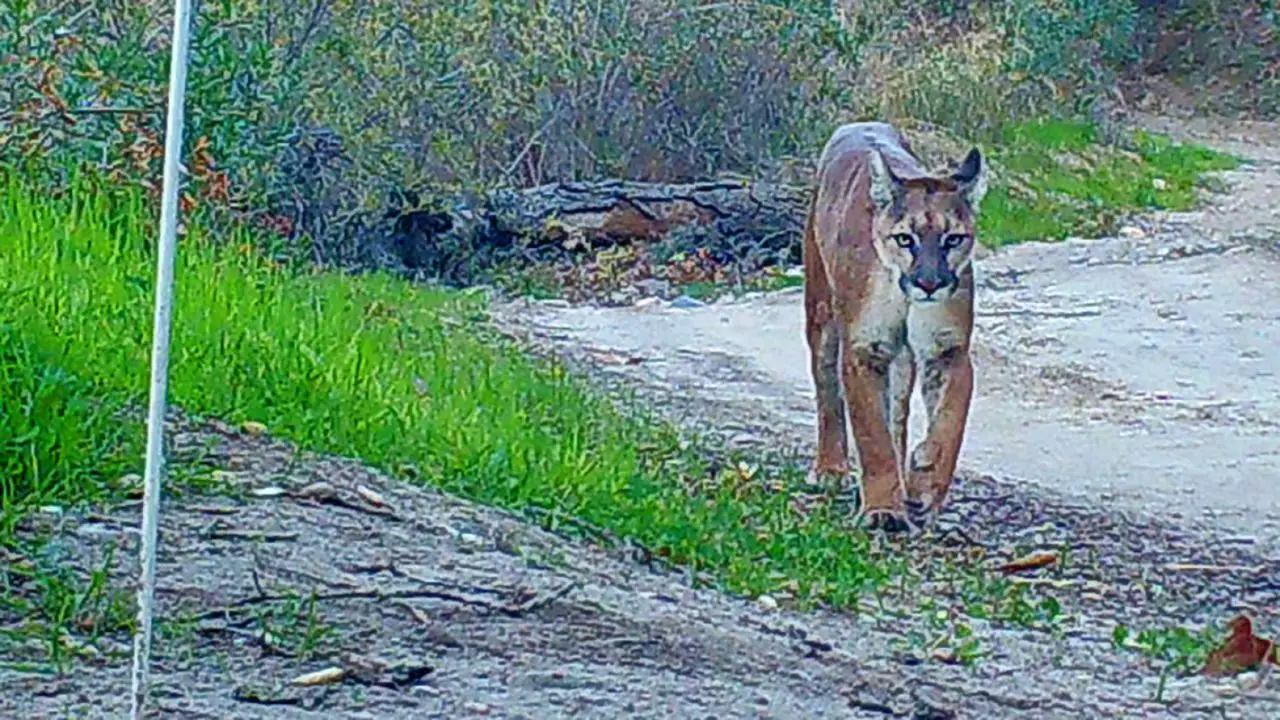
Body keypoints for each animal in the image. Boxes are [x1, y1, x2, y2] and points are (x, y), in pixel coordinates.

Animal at [802, 122, 988, 533]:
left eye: (953, 239)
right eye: (905, 239)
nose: (930, 284)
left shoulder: (948, 350)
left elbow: (950, 423)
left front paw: (924, 481)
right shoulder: (863, 348)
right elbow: (872, 434)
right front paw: (883, 509)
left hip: (903, 358)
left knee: (898, 416)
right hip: (821, 316)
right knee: (828, 393)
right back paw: (831, 469)